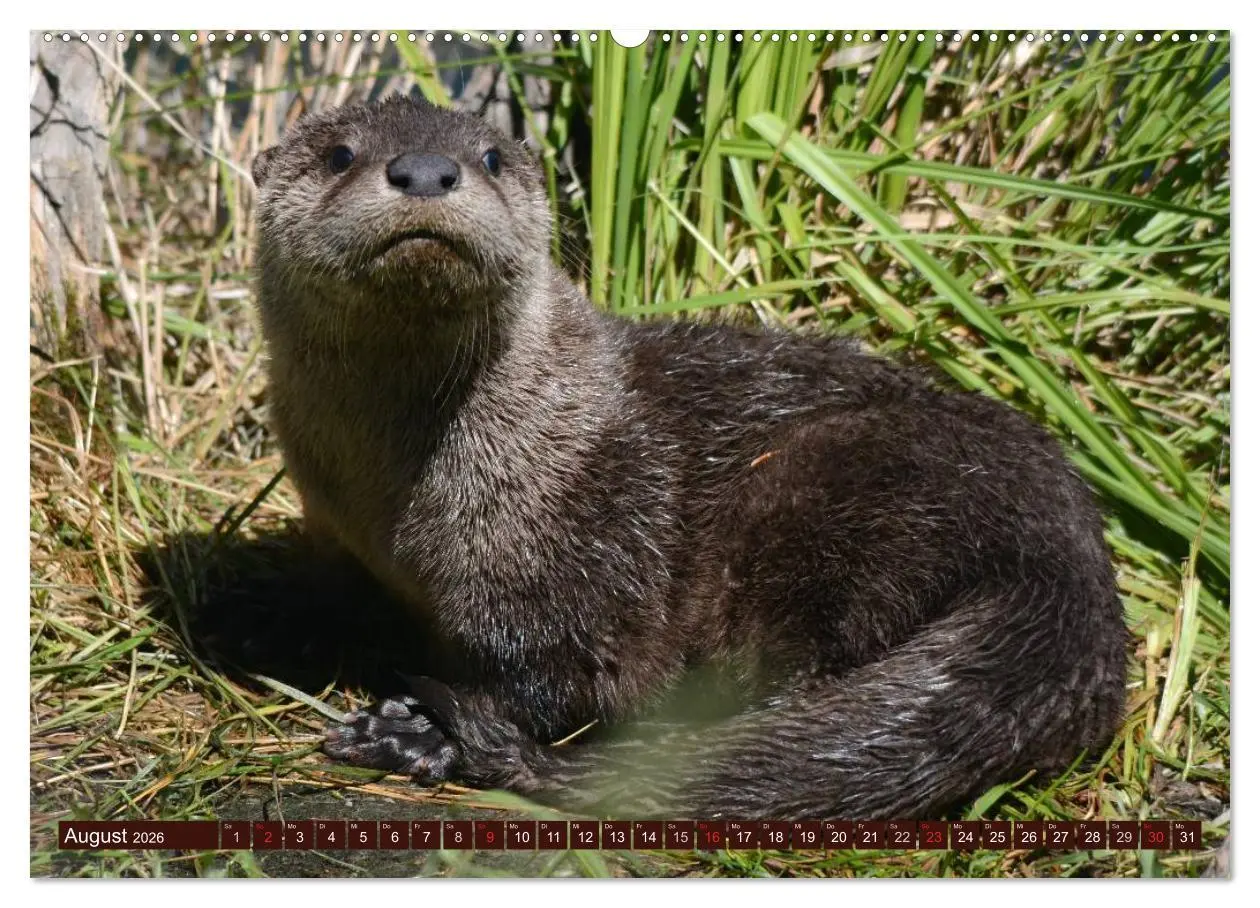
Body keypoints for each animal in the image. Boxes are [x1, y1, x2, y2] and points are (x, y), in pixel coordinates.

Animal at [251, 95, 1126, 820]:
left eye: (491, 157)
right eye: (339, 153)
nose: (429, 171)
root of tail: (1067, 564)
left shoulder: (585, 549)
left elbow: (561, 677)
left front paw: (420, 730)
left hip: (834, 489)